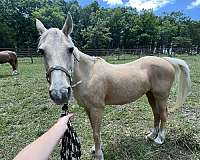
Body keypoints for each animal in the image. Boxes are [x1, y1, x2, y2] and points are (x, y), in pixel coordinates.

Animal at [36, 14, 191, 160]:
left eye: (70, 49)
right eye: (41, 51)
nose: (59, 93)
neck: (88, 74)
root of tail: (166, 60)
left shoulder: (97, 108)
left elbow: (96, 132)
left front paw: (99, 154)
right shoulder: (88, 108)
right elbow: (94, 129)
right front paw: (95, 149)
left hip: (161, 96)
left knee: (164, 114)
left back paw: (159, 139)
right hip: (150, 94)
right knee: (156, 113)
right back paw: (152, 135)